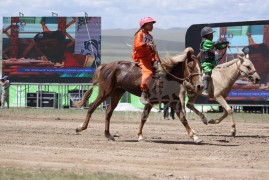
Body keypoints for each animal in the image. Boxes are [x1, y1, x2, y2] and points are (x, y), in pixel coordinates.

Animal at [74, 47, 202, 143]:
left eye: (200, 67)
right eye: (191, 67)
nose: (200, 86)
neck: (166, 76)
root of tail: (105, 66)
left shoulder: (174, 101)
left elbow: (183, 118)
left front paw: (195, 137)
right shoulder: (151, 101)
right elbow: (144, 117)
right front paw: (140, 136)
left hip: (117, 93)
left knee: (108, 112)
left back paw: (108, 134)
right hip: (105, 92)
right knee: (92, 106)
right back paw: (81, 127)